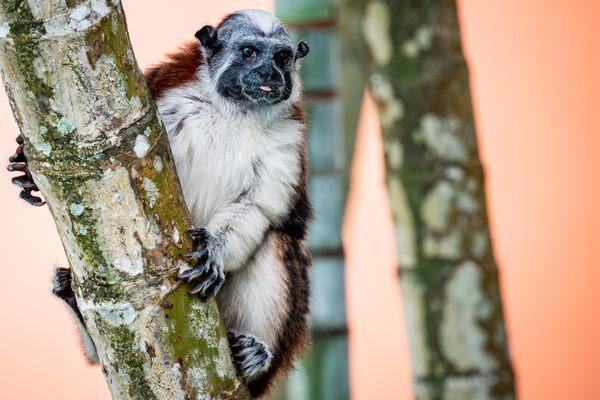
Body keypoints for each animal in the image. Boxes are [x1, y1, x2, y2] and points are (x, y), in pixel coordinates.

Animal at [8, 8, 314, 396]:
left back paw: (254, 358)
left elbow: (260, 209)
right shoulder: (164, 99)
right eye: (249, 53)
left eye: (282, 58)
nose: (269, 75)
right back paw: (76, 306)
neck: (235, 112)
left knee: (277, 242)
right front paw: (28, 170)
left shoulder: (290, 137)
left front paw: (213, 251)